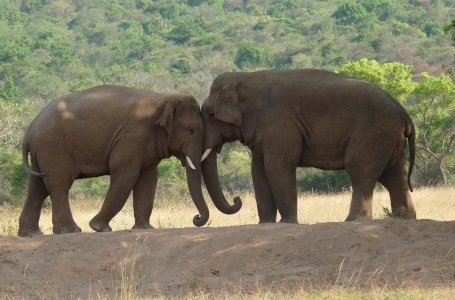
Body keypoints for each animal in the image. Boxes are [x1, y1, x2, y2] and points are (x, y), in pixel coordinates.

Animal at [16, 84, 218, 237]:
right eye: (191, 130)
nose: (196, 218)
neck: (163, 97)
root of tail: (28, 132)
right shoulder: (132, 135)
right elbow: (125, 175)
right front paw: (99, 228)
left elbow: (148, 180)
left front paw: (145, 228)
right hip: (54, 148)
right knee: (59, 185)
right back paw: (70, 231)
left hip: (43, 152)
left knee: (37, 188)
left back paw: (31, 234)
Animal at [201, 68, 418, 223]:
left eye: (210, 115)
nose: (237, 199)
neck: (245, 78)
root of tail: (405, 115)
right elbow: (259, 171)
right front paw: (265, 224)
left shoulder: (278, 122)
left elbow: (278, 166)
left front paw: (287, 223)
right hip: (389, 138)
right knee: (394, 177)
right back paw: (404, 218)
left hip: (373, 134)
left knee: (360, 171)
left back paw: (353, 221)